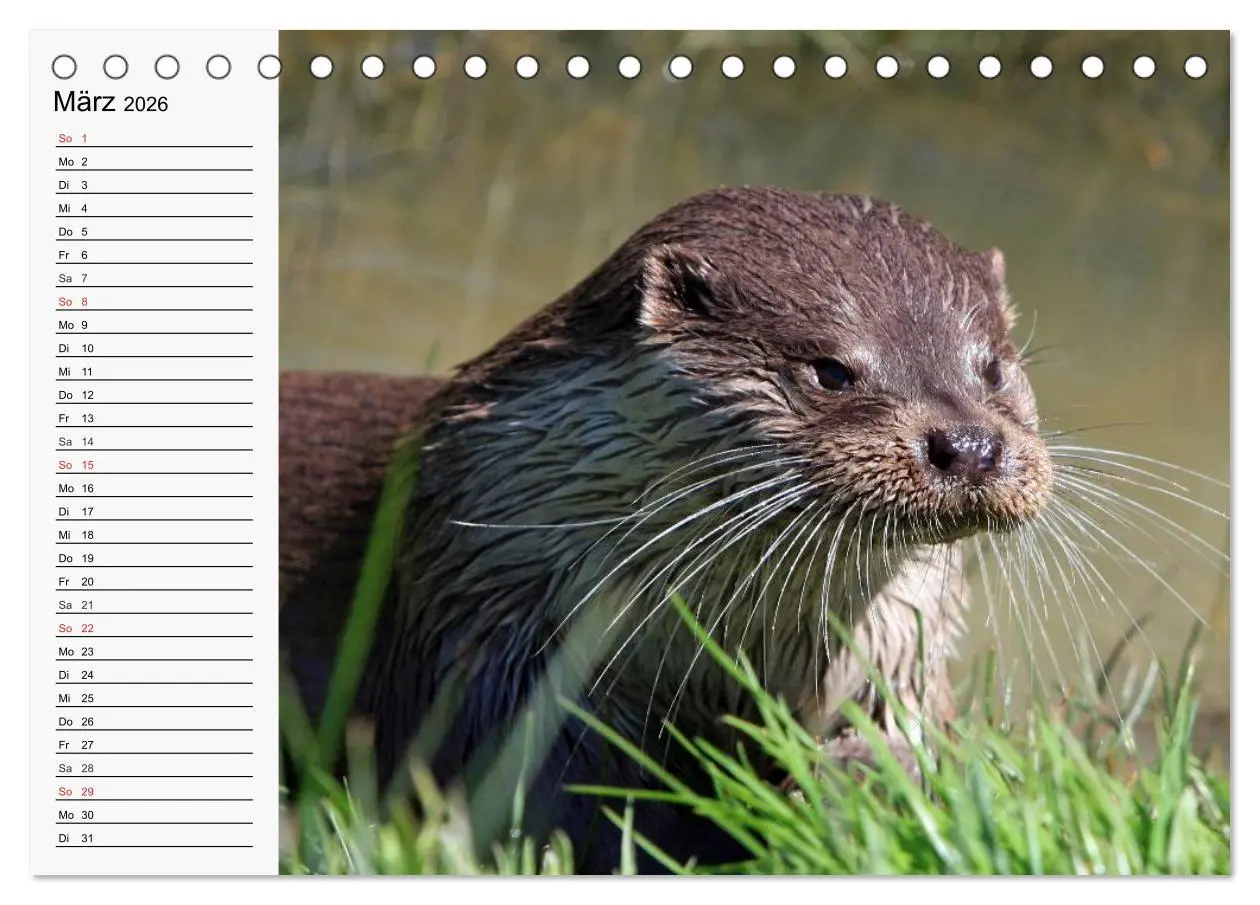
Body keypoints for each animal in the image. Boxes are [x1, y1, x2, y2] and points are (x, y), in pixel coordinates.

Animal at [280, 186, 1052, 872]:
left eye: (993, 368)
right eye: (831, 371)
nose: (971, 445)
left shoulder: (900, 647)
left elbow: (920, 749)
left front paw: (852, 789)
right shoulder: (486, 635)